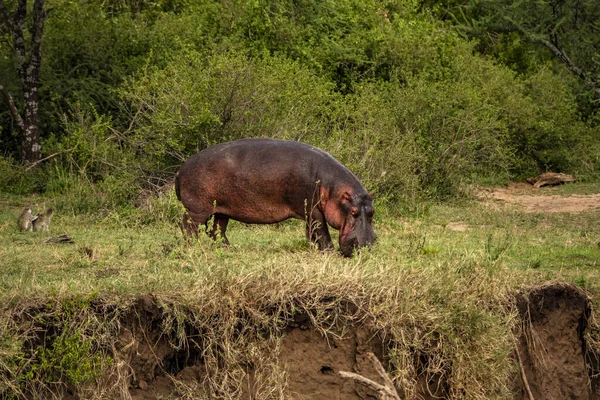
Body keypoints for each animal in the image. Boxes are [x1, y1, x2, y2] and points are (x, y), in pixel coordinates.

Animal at [173, 138, 376, 256]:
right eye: (353, 211)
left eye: (372, 212)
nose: (366, 246)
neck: (333, 190)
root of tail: (181, 168)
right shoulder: (313, 210)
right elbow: (322, 232)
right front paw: (330, 253)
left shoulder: (310, 213)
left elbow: (311, 233)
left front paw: (314, 250)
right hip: (197, 209)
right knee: (189, 227)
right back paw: (195, 247)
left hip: (222, 209)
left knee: (217, 230)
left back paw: (229, 249)